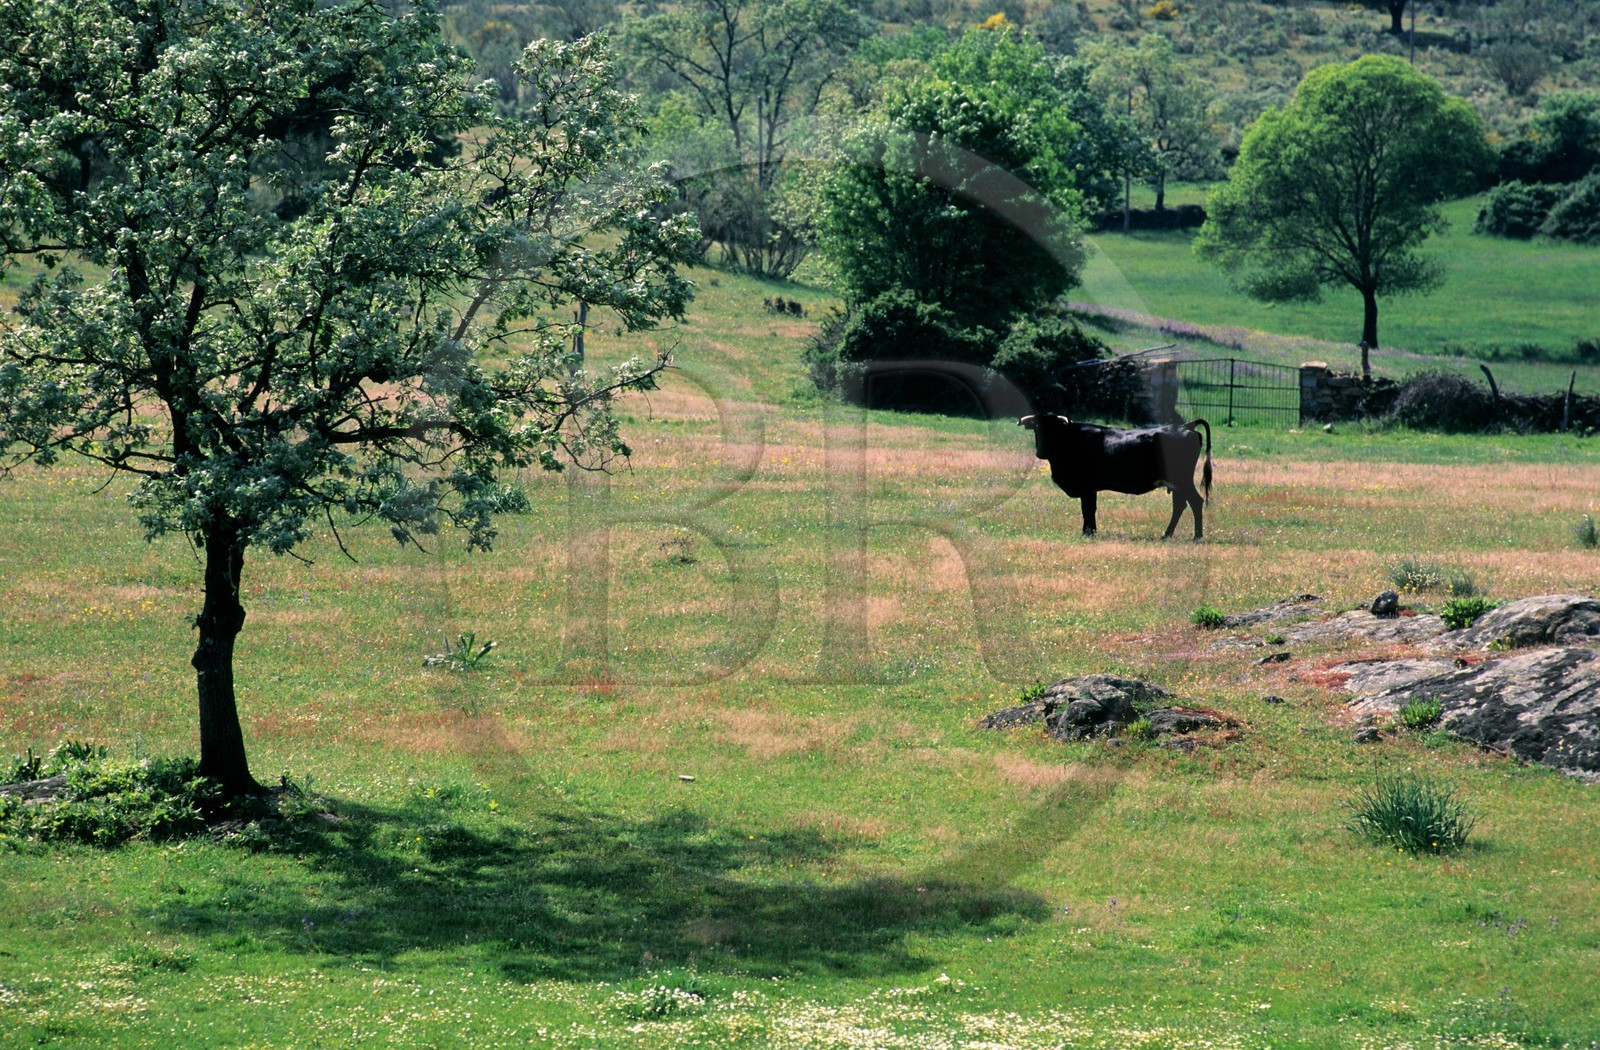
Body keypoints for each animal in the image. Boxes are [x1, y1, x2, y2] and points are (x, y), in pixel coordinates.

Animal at [1020, 413, 1213, 540]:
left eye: (1055, 430)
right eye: (1036, 428)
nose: (1040, 452)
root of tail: (1185, 426)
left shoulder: (1088, 488)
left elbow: (1088, 509)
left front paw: (1088, 533)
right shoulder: (1089, 489)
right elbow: (1088, 510)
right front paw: (1089, 532)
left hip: (1183, 480)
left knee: (1195, 502)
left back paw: (1197, 536)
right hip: (1176, 484)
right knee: (1180, 505)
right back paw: (1167, 535)